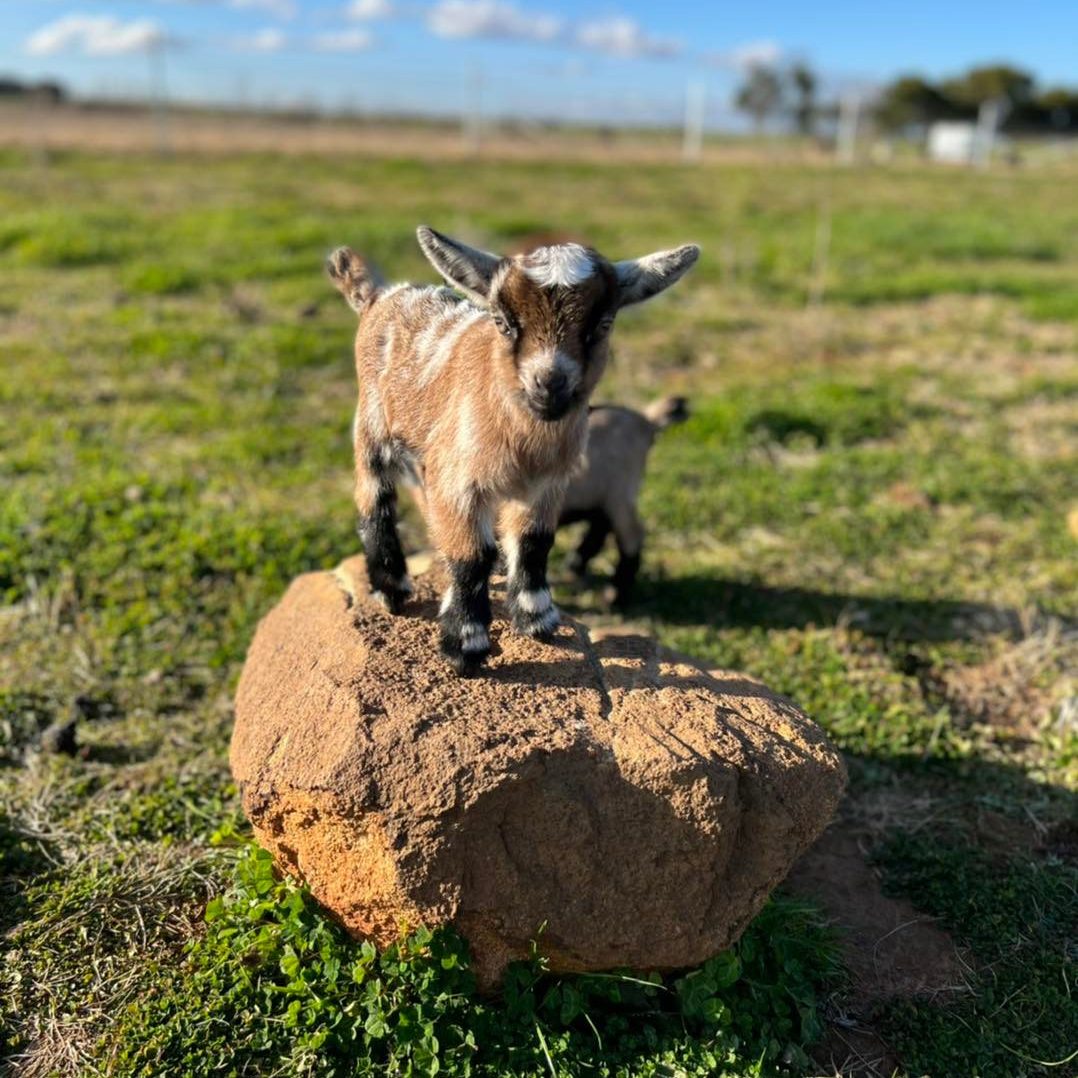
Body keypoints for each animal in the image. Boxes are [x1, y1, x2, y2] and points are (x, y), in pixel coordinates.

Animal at [560, 396, 685, 607]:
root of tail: (645, 421)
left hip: (621, 488)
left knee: (630, 535)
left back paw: (615, 595)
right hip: (602, 494)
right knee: (601, 525)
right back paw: (575, 567)